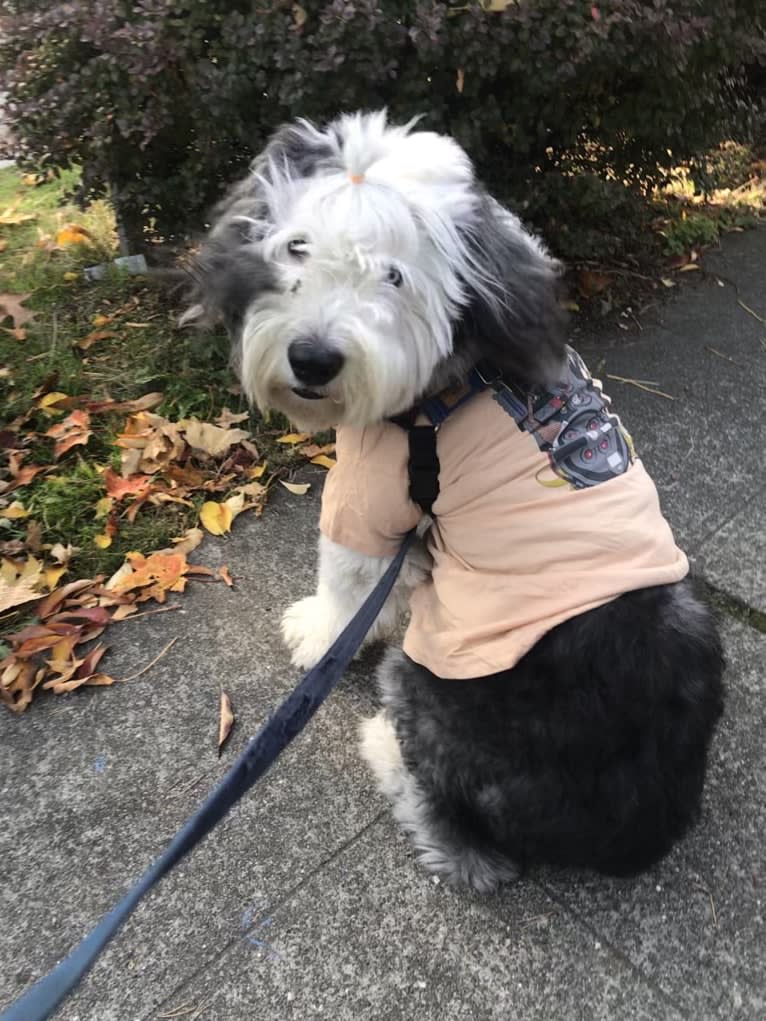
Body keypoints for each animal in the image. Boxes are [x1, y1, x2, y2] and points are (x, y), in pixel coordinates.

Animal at [187, 111, 727, 890]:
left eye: (394, 275)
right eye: (297, 246)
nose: (313, 359)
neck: (449, 378)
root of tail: (633, 831)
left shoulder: (370, 501)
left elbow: (347, 585)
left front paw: (317, 635)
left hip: (431, 683)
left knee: (463, 844)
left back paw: (385, 747)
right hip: (690, 612)